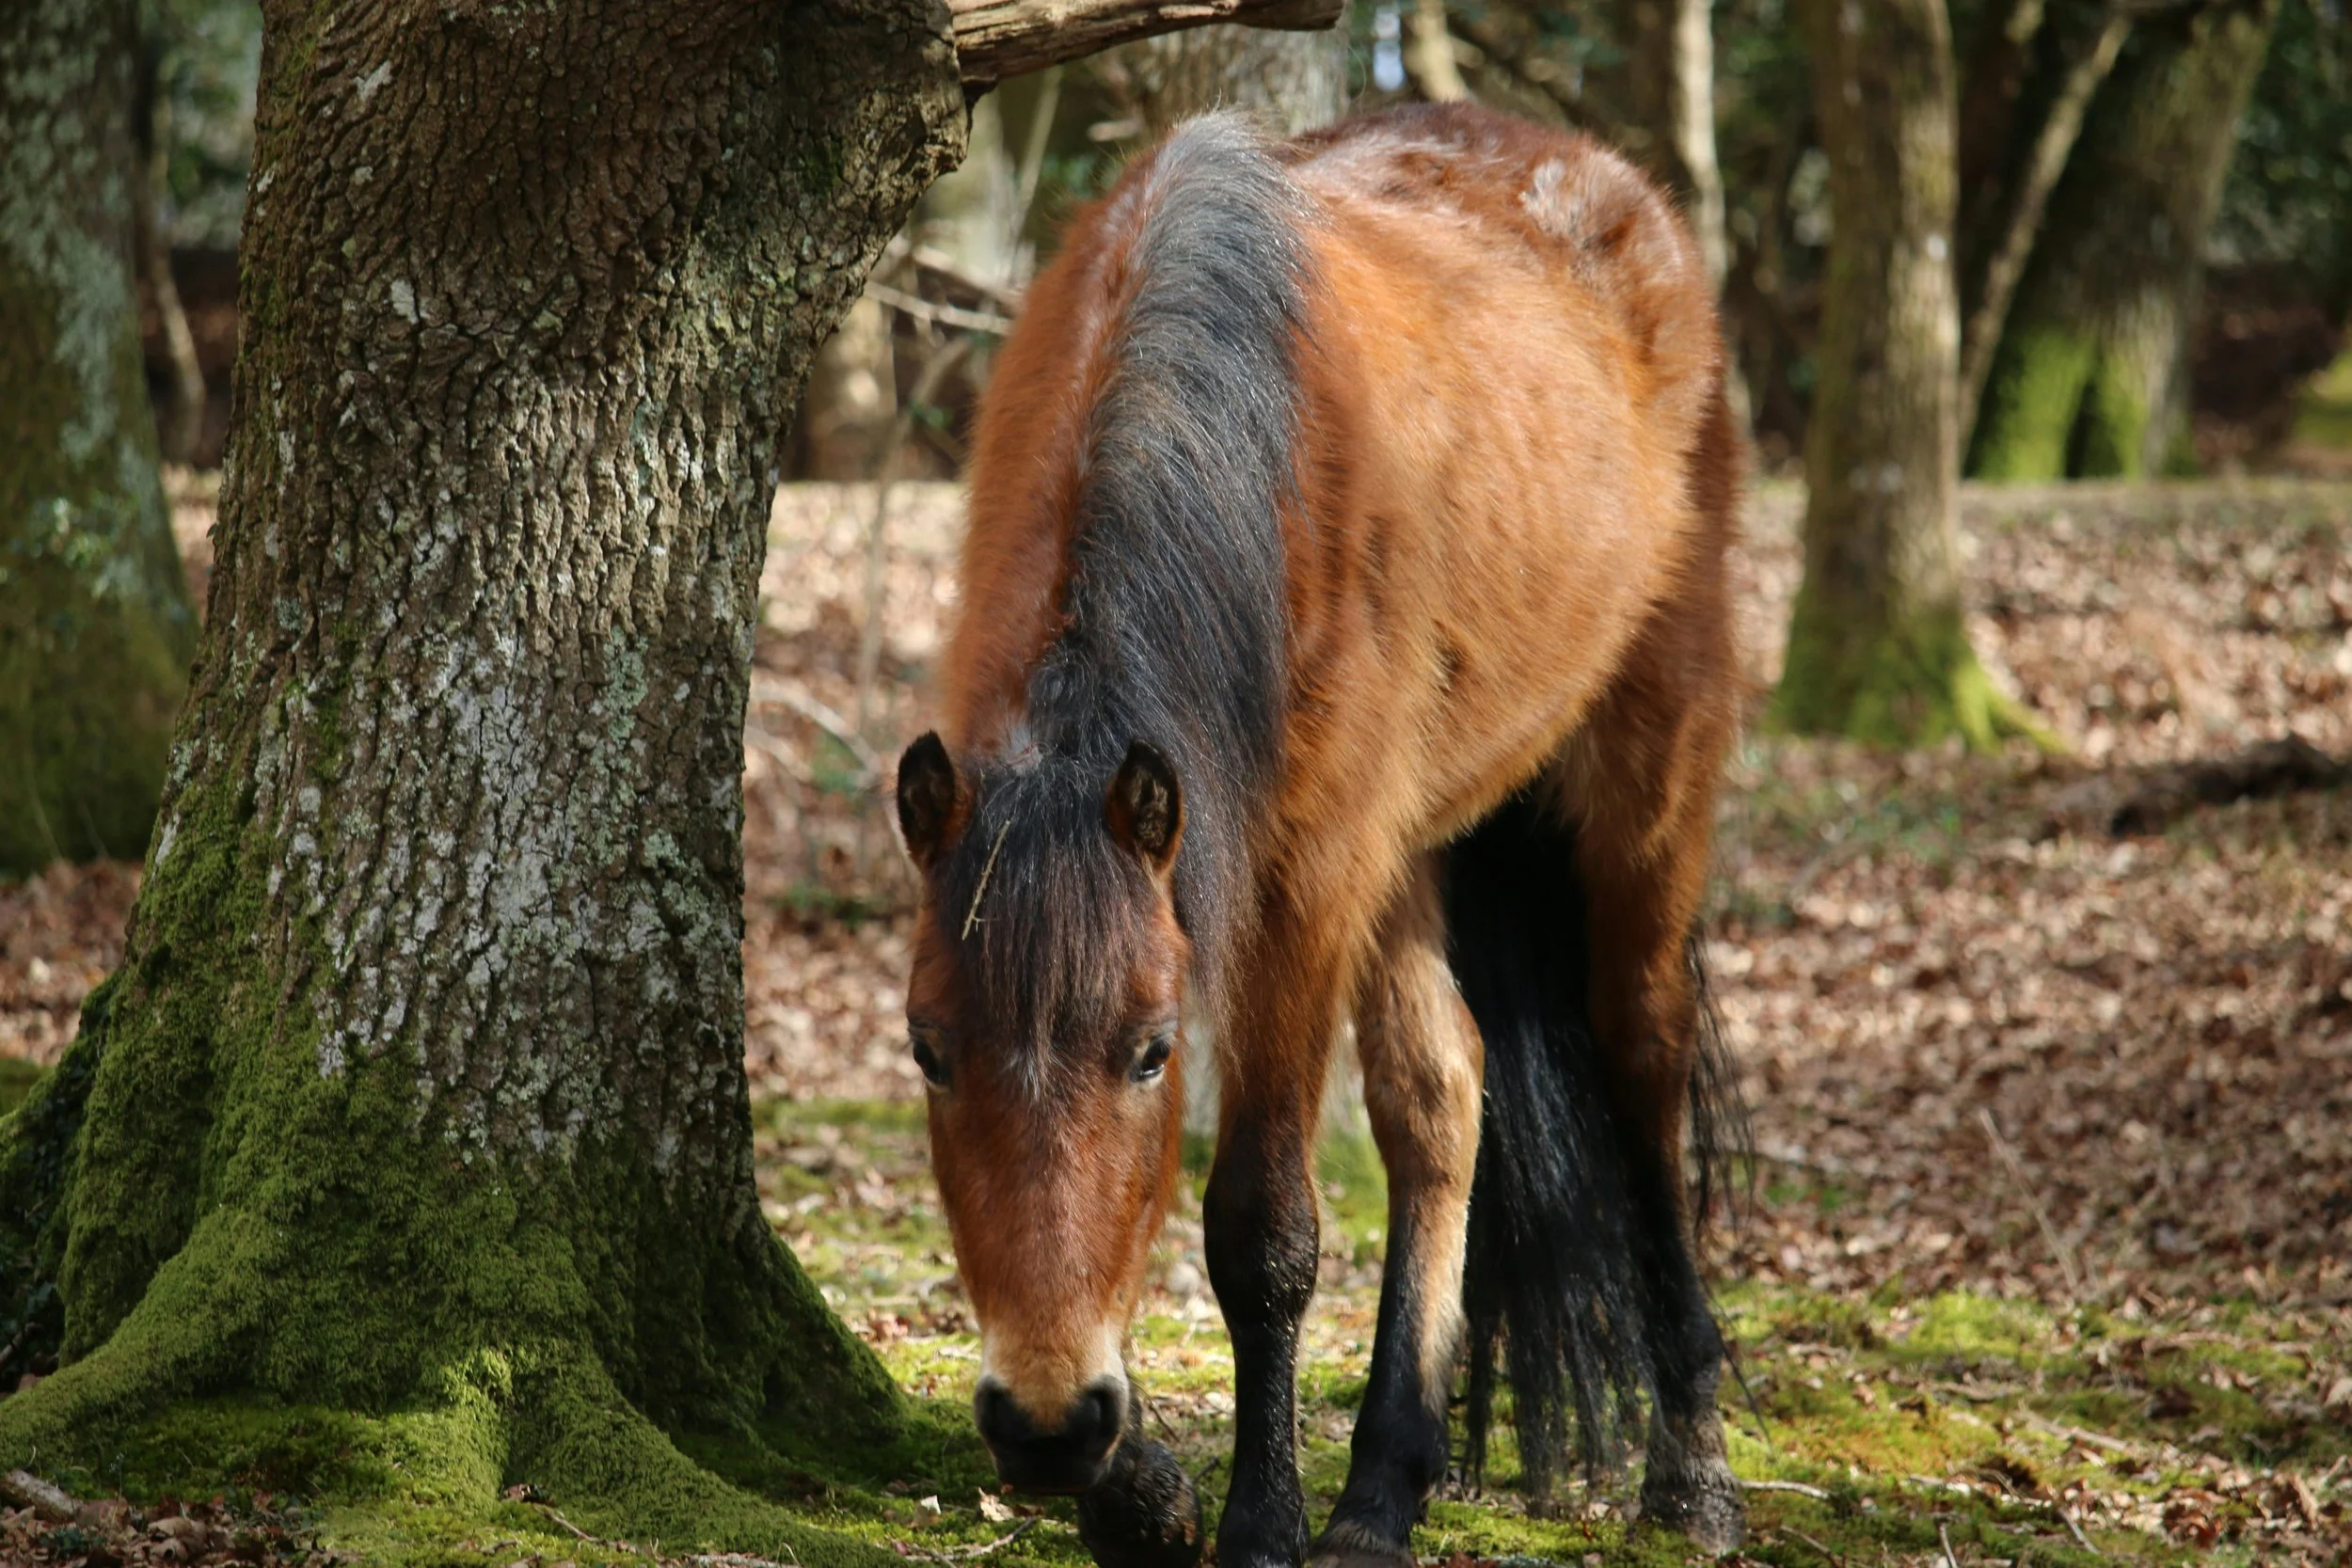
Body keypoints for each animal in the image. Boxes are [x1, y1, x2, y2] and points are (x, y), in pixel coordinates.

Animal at [891, 102, 1747, 1568]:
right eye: (929, 1050)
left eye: (1151, 1052)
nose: (1047, 1421)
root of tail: (1618, 189)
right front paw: (1144, 1488)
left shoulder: (1303, 882)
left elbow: (1261, 1227)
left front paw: (1257, 1516)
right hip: (1415, 845)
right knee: (1442, 1093)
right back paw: (1389, 1476)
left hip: (1646, 770)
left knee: (1641, 1052)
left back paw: (1688, 1461)